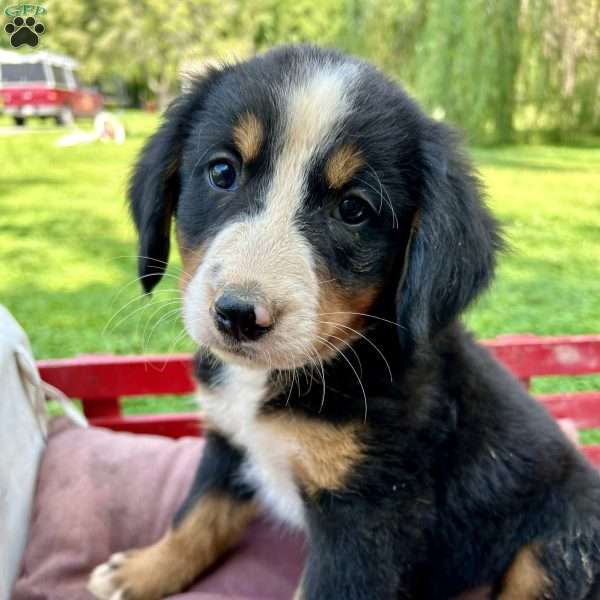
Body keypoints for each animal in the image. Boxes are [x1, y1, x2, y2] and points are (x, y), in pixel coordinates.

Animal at [88, 45, 600, 600]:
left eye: (353, 209)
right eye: (222, 172)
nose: (239, 316)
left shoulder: (367, 515)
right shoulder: (229, 439)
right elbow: (198, 514)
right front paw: (141, 571)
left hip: (556, 545)